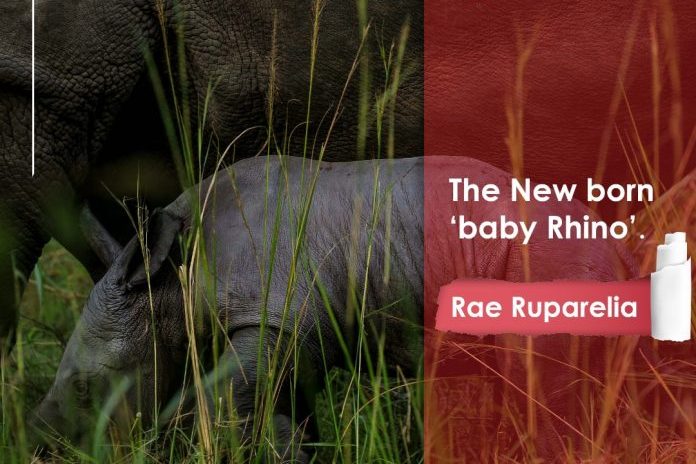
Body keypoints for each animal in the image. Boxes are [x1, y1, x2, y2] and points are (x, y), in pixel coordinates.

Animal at [32, 155, 643, 461]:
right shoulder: (289, 329)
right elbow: (277, 411)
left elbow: (222, 399)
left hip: (555, 262)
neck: (169, 287)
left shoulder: (274, 316)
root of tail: (619, 248)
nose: (40, 444)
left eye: (87, 388)